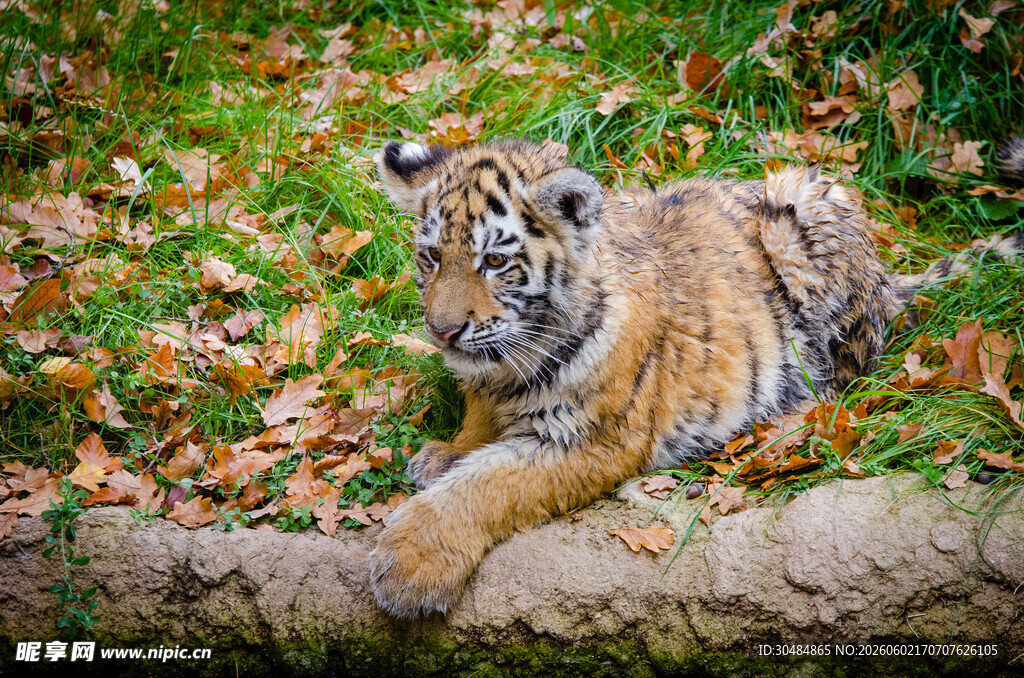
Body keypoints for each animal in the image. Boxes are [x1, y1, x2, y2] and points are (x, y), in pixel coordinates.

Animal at [368, 137, 1024, 619]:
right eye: (432, 257)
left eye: (495, 261)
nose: (442, 331)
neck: (513, 363)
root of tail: (889, 279)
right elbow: (477, 429)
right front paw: (447, 451)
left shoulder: (594, 440)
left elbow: (489, 484)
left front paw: (409, 562)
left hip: (799, 203)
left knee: (848, 376)